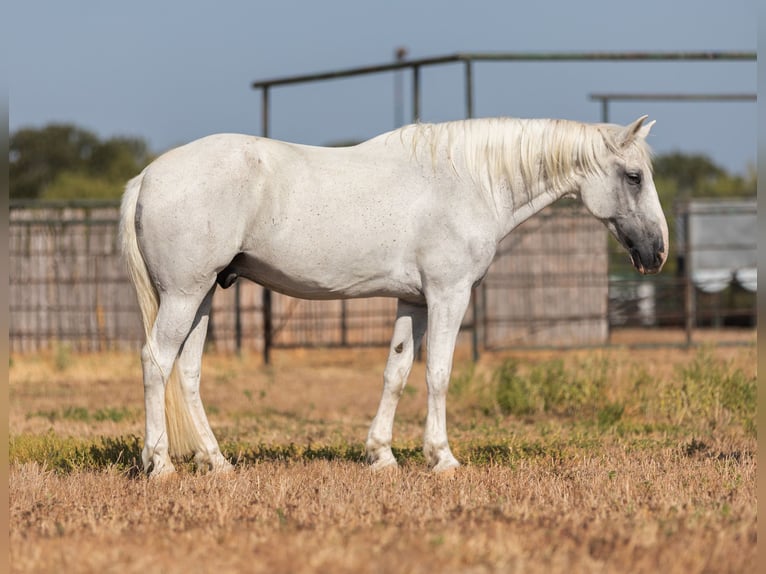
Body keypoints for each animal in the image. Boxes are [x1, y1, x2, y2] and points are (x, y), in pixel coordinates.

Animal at [120, 115, 664, 480]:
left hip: (201, 298)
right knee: (155, 362)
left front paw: (381, 455)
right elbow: (438, 373)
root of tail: (147, 176)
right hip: (184, 296)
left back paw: (217, 462)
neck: (469, 182)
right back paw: (161, 463)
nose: (657, 252)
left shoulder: (414, 303)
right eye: (634, 176)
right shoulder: (448, 296)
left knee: (187, 373)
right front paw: (442, 457)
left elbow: (396, 373)